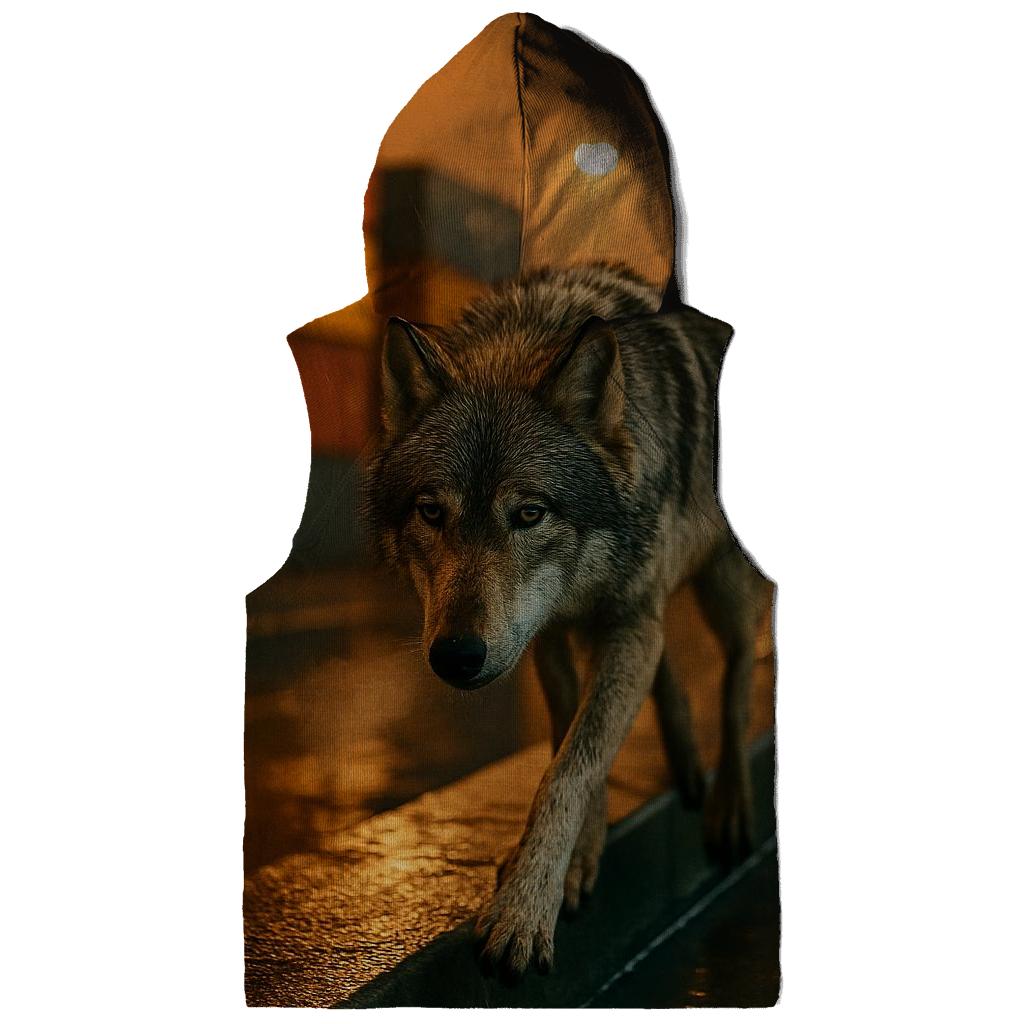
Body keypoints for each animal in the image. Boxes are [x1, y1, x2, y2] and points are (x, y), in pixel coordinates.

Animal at [359, 263, 771, 980]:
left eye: (529, 514)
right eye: (431, 512)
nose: (457, 656)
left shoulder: (626, 621)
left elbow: (570, 768)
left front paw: (524, 911)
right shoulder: (547, 632)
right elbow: (569, 741)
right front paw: (574, 858)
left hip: (721, 589)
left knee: (738, 673)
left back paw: (729, 802)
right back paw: (685, 760)